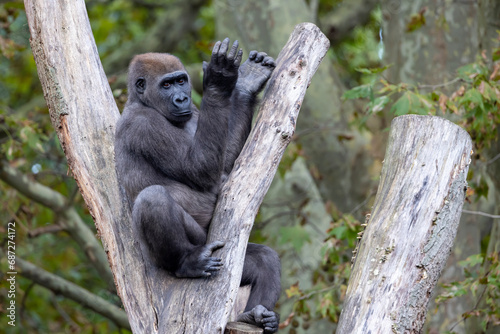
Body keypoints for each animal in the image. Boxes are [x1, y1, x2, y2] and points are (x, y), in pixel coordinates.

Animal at [114, 37, 284, 332]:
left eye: (181, 81)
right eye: (166, 85)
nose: (182, 97)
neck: (143, 102)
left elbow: (223, 166)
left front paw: (244, 84)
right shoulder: (142, 124)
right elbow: (199, 167)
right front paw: (219, 80)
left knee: (265, 260)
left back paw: (256, 315)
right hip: (182, 250)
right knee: (153, 199)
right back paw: (186, 263)